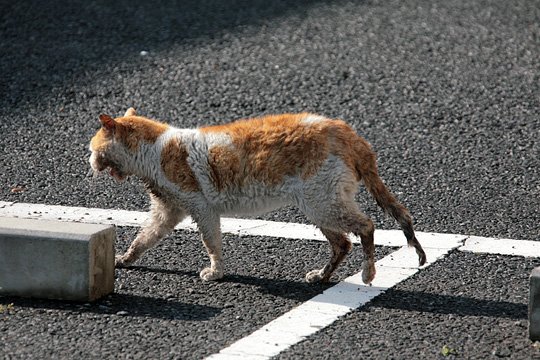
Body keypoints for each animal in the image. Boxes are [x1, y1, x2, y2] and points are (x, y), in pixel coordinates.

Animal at [89, 108, 426, 286]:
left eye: (93, 149)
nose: (88, 161)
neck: (153, 152)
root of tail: (349, 133)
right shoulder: (167, 210)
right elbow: (142, 239)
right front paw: (124, 259)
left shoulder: (202, 208)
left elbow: (211, 242)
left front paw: (216, 272)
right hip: (320, 205)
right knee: (343, 242)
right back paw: (321, 276)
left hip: (321, 203)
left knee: (366, 226)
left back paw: (368, 272)